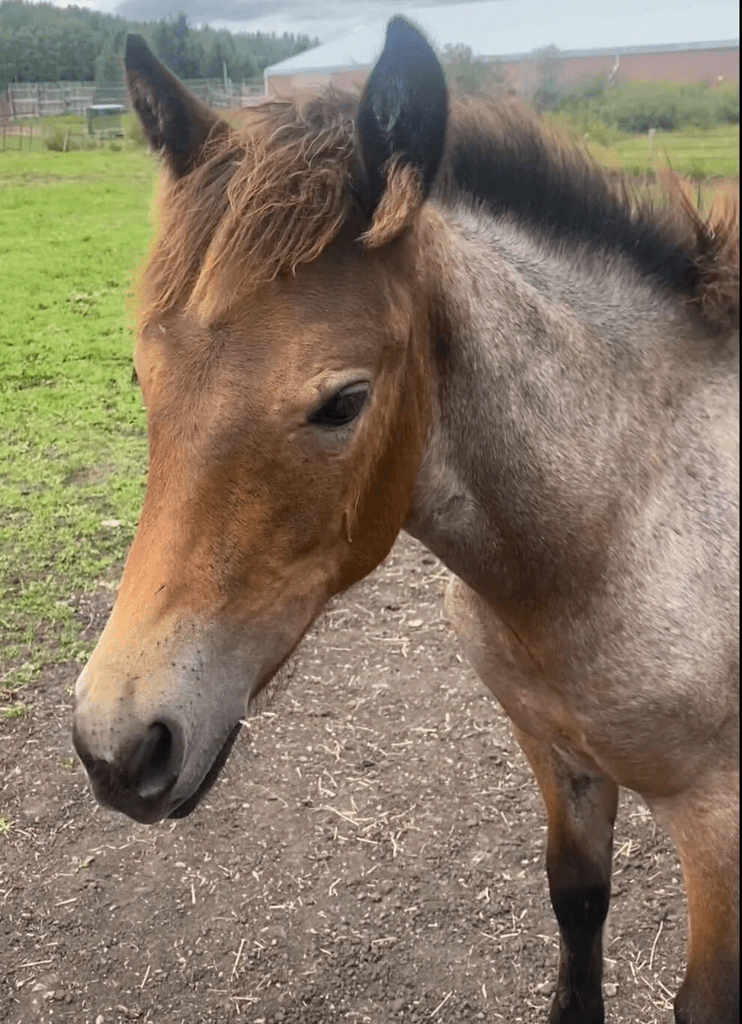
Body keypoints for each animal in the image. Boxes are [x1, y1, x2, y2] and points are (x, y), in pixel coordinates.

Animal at [71, 19, 739, 1024]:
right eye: (141, 377)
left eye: (343, 402)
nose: (118, 747)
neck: (619, 527)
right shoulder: (556, 750)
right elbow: (577, 899)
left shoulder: (719, 821)